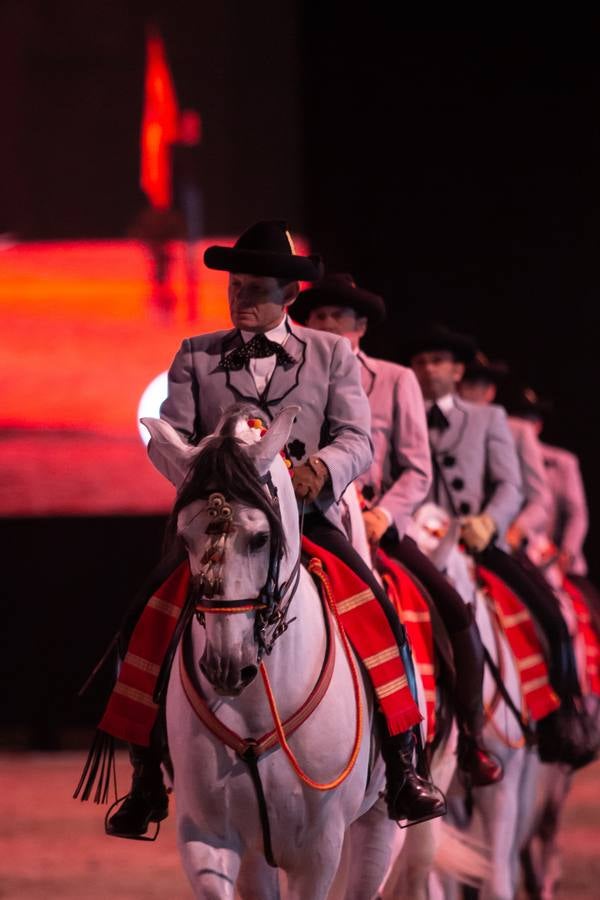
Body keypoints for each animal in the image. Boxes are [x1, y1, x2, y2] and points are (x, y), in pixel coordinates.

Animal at [141, 408, 406, 900]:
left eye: (261, 538)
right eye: (185, 539)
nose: (226, 666)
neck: (257, 705)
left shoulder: (317, 852)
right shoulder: (208, 836)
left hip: (379, 824)